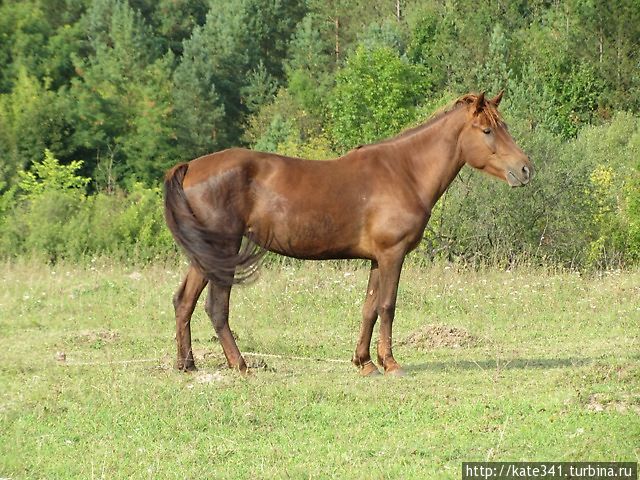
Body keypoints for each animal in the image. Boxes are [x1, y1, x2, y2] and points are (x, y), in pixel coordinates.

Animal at [164, 90, 528, 376]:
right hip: (222, 250)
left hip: (205, 256)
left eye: (504, 127)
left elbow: (369, 308)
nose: (525, 169)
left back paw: (187, 365)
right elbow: (387, 306)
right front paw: (390, 363)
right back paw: (240, 365)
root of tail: (190, 167)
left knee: (184, 301)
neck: (405, 172)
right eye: (487, 130)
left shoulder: (377, 259)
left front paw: (365, 363)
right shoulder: (392, 254)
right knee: (216, 307)